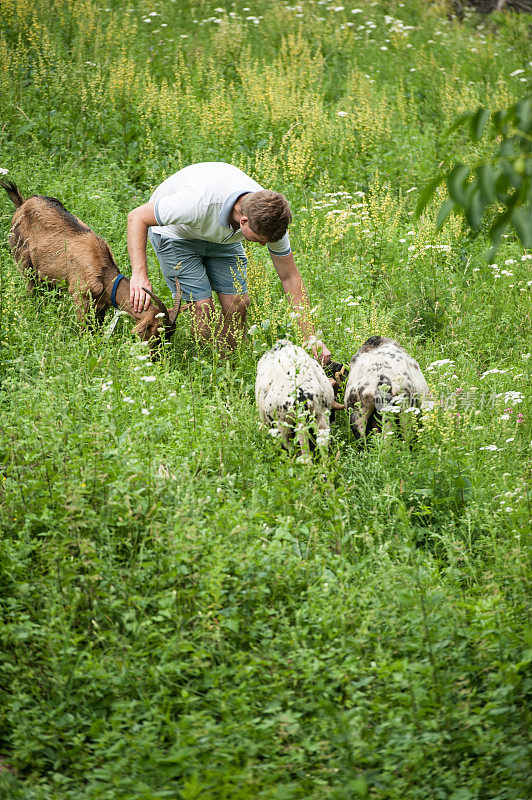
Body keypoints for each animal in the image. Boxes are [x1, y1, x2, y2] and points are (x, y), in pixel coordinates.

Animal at [0, 181, 189, 350]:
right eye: (155, 332)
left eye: (170, 333)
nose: (154, 358)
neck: (104, 273)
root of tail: (22, 203)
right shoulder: (80, 296)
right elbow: (84, 329)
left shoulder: (101, 306)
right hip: (24, 262)